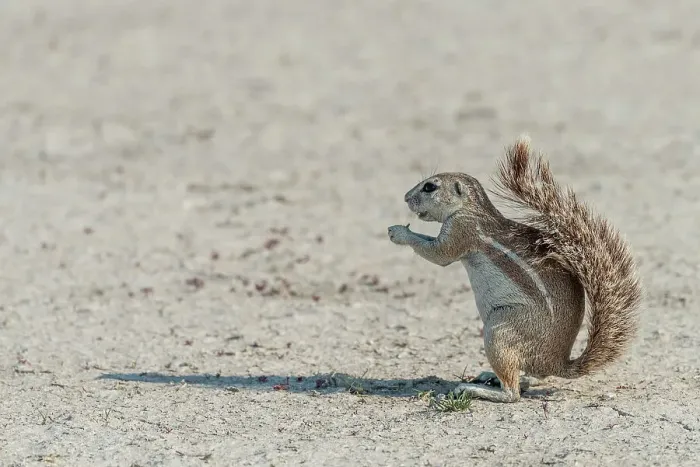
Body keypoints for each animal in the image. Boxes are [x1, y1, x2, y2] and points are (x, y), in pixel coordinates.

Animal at [387, 135, 643, 403]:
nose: (405, 197)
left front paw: (399, 232)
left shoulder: (461, 231)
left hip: (500, 330)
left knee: (513, 393)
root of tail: (557, 362)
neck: (469, 208)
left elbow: (438, 254)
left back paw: (477, 389)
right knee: (533, 377)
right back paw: (492, 376)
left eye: (430, 187)